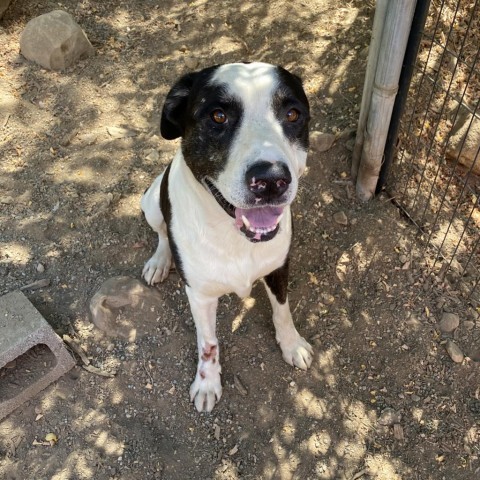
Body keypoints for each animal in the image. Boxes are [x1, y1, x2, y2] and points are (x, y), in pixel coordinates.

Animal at [141, 62, 314, 410]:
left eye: (292, 114)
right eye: (218, 116)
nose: (271, 179)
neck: (235, 238)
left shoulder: (279, 267)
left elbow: (283, 311)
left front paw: (291, 344)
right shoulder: (200, 296)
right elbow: (208, 343)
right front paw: (207, 383)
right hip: (151, 201)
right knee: (162, 232)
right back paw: (159, 261)